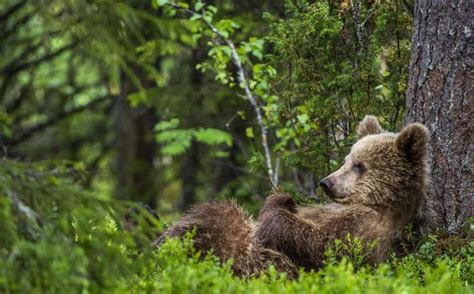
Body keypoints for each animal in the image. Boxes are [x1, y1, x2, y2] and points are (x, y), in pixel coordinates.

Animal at [156, 116, 430, 276]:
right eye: (346, 159)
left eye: (360, 165)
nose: (326, 182)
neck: (379, 204)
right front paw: (284, 198)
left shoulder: (366, 233)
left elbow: (322, 246)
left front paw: (277, 211)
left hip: (256, 259)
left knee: (220, 222)